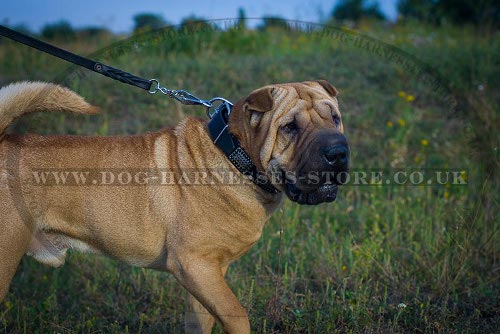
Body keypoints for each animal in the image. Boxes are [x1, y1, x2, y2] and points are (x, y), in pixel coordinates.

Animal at [0, 80, 350, 332]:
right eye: (290, 127)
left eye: (335, 118)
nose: (338, 152)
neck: (235, 156)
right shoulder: (192, 263)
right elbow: (237, 314)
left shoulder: (208, 273)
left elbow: (202, 320)